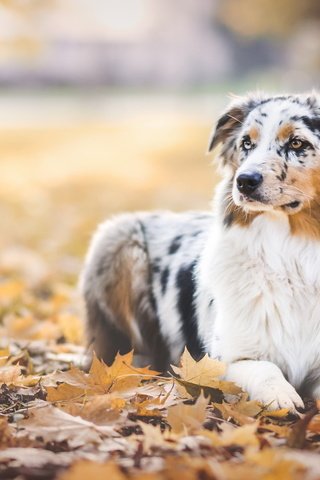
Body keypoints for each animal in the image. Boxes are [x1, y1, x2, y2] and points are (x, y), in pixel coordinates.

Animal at [80, 92, 320, 410]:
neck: (291, 255)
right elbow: (263, 367)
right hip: (116, 238)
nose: (244, 181)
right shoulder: (221, 358)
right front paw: (281, 394)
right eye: (246, 143)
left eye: (297, 143)